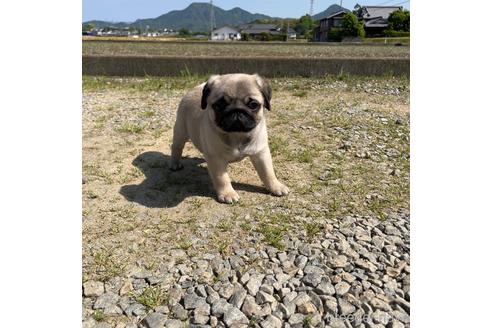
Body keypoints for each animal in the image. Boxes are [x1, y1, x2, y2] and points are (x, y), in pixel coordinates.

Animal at [172, 73, 290, 204]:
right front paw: (227, 193)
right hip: (181, 131)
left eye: (253, 105)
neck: (236, 135)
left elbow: (268, 172)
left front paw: (276, 186)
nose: (237, 110)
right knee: (176, 147)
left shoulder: (261, 153)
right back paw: (175, 163)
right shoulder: (216, 159)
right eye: (219, 105)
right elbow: (222, 178)